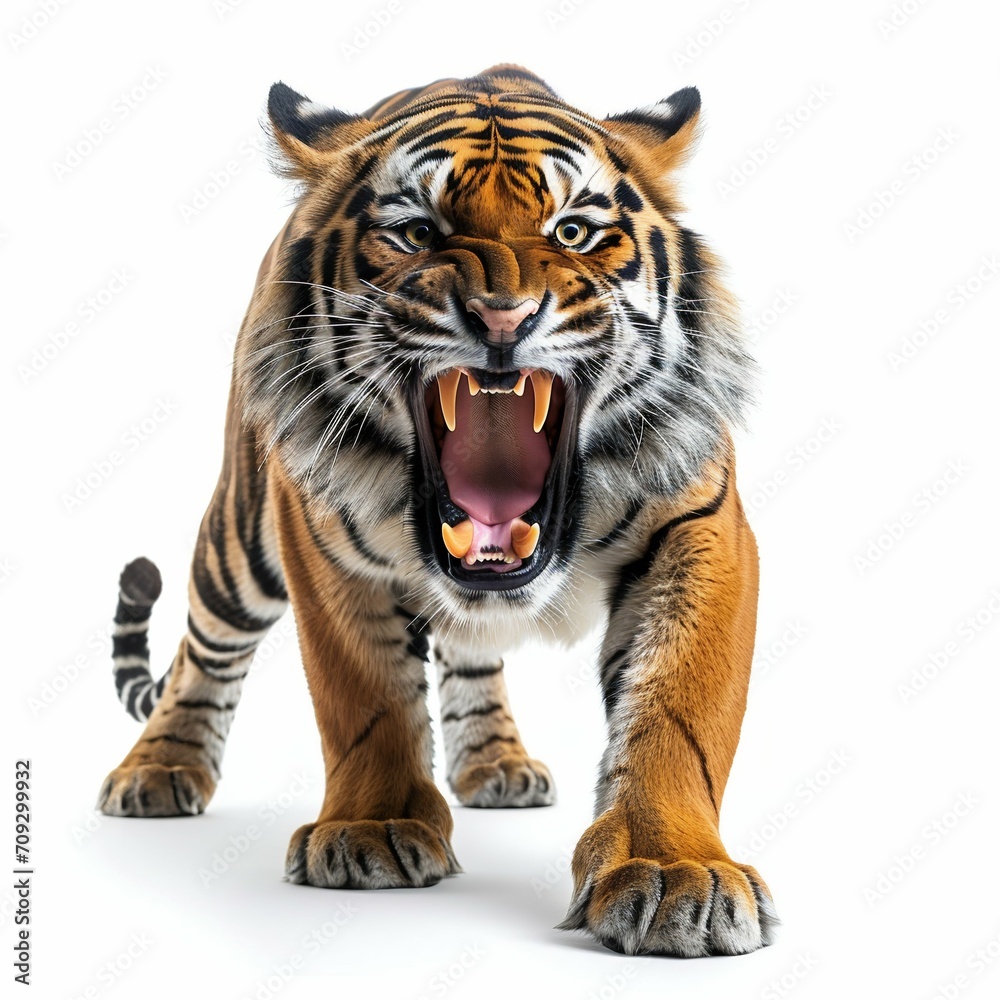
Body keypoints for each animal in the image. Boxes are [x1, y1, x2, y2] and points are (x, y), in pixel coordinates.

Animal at [97, 64, 778, 958]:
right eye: (417, 232)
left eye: (572, 231)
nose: (503, 318)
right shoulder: (318, 540)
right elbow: (365, 697)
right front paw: (372, 829)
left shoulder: (701, 528)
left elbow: (678, 714)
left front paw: (675, 873)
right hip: (240, 539)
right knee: (203, 648)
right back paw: (157, 770)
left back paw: (498, 765)